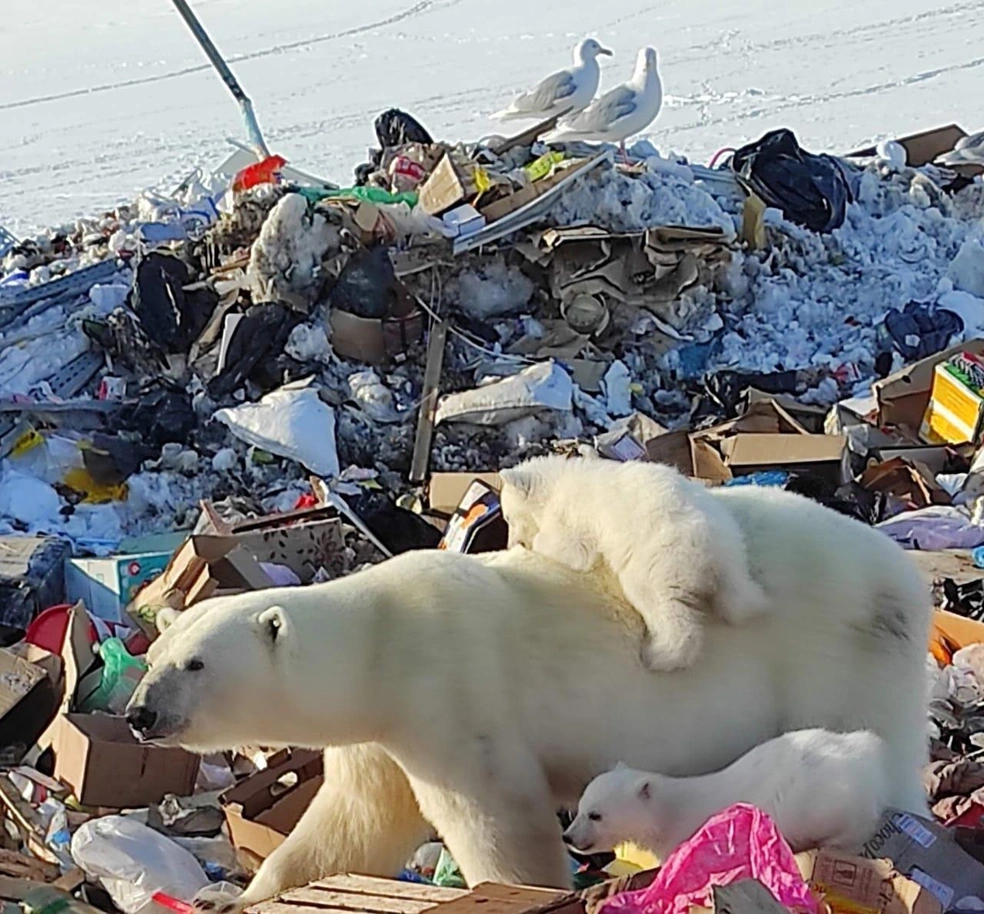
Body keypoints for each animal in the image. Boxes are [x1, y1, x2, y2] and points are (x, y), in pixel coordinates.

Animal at [129, 484, 932, 904]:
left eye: (196, 664)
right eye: (155, 654)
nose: (140, 713)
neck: (381, 641)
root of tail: (904, 576)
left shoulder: (448, 693)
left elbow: (498, 820)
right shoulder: (382, 736)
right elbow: (353, 826)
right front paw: (231, 894)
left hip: (838, 662)